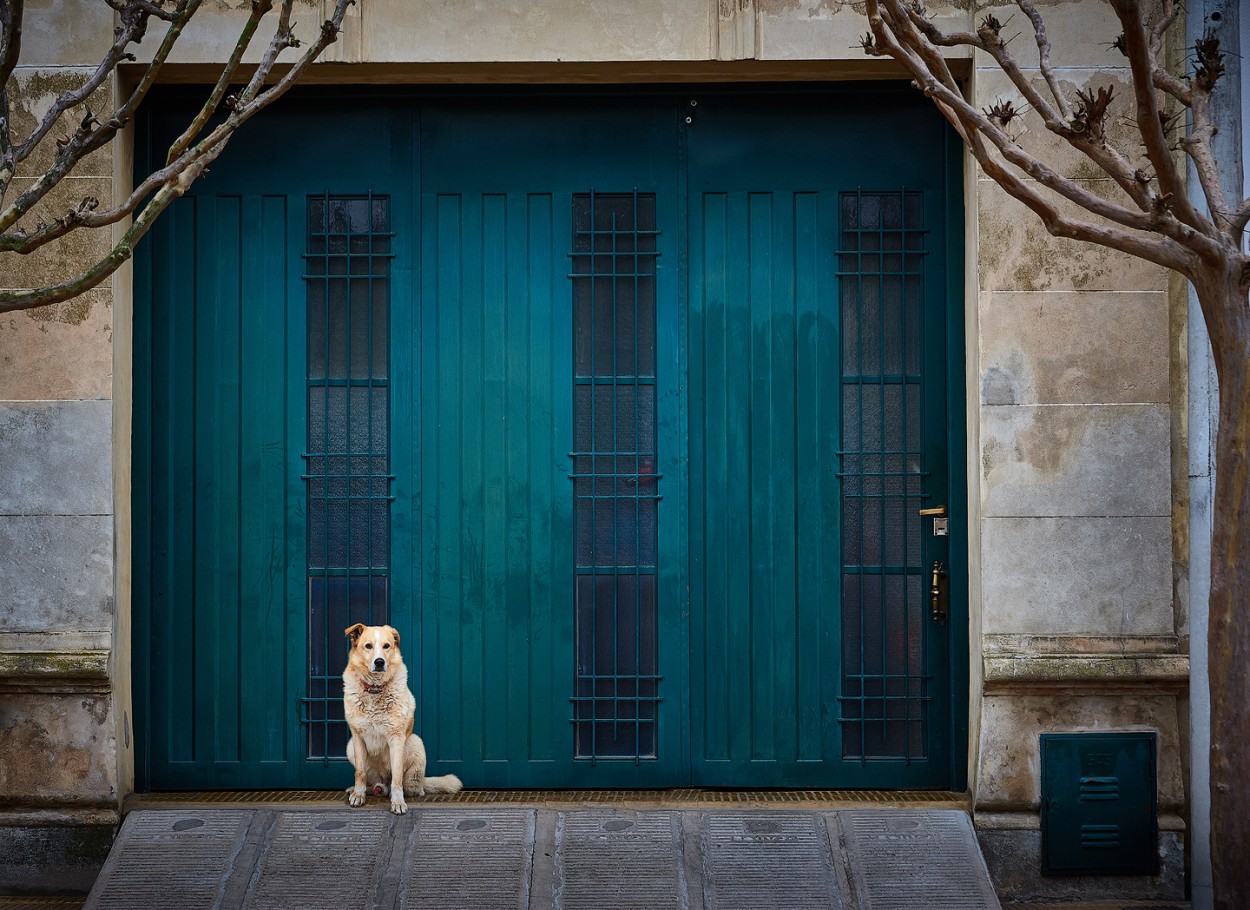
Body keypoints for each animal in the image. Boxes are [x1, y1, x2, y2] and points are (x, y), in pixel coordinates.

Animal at [340, 622, 462, 815]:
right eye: (368, 646)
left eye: (386, 646)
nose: (380, 662)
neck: (375, 690)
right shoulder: (357, 737)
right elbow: (359, 773)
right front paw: (358, 795)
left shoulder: (396, 738)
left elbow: (397, 777)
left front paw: (398, 802)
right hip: (350, 747)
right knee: (376, 784)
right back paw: (365, 789)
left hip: (415, 742)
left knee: (407, 786)